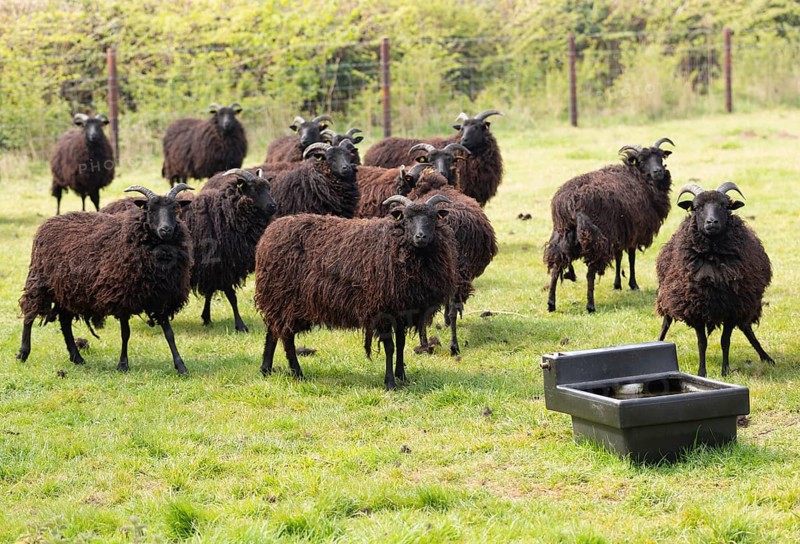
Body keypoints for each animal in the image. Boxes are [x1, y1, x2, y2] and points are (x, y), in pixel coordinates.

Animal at [17, 184, 194, 373]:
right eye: (150, 210)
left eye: (175, 209)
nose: (166, 230)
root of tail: (49, 221)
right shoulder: (122, 297)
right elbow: (126, 333)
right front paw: (123, 364)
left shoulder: (161, 297)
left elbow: (169, 333)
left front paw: (181, 366)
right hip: (40, 280)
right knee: (29, 313)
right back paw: (23, 353)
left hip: (67, 290)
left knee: (65, 321)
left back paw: (76, 357)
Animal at [186, 168, 277, 332]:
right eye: (254, 190)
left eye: (268, 188)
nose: (273, 206)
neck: (225, 214)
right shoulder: (223, 266)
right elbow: (232, 297)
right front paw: (240, 325)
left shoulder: (213, 268)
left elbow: (210, 292)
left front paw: (206, 317)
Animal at [254, 193, 457, 390]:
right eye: (407, 218)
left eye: (432, 217)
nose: (420, 237)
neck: (397, 244)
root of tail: (270, 232)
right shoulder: (383, 310)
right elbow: (390, 347)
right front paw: (390, 383)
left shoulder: (403, 310)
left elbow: (401, 344)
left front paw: (402, 376)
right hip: (284, 299)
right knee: (286, 337)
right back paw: (297, 373)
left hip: (279, 300)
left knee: (273, 332)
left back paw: (266, 369)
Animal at [544, 138, 675, 313]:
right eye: (641, 161)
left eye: (661, 157)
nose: (658, 171)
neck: (638, 177)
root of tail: (572, 204)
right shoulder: (632, 232)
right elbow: (631, 257)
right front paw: (633, 284)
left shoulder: (620, 233)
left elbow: (619, 257)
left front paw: (617, 284)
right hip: (597, 238)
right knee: (590, 273)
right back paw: (590, 306)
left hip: (562, 236)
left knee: (556, 267)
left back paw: (551, 304)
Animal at [656, 182, 773, 377]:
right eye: (697, 207)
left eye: (725, 206)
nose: (711, 222)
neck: (712, 260)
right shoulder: (694, 308)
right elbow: (701, 343)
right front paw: (701, 372)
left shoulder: (733, 308)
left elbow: (725, 341)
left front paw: (725, 371)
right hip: (668, 295)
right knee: (665, 323)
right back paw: (657, 343)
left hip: (746, 302)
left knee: (746, 328)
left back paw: (766, 357)